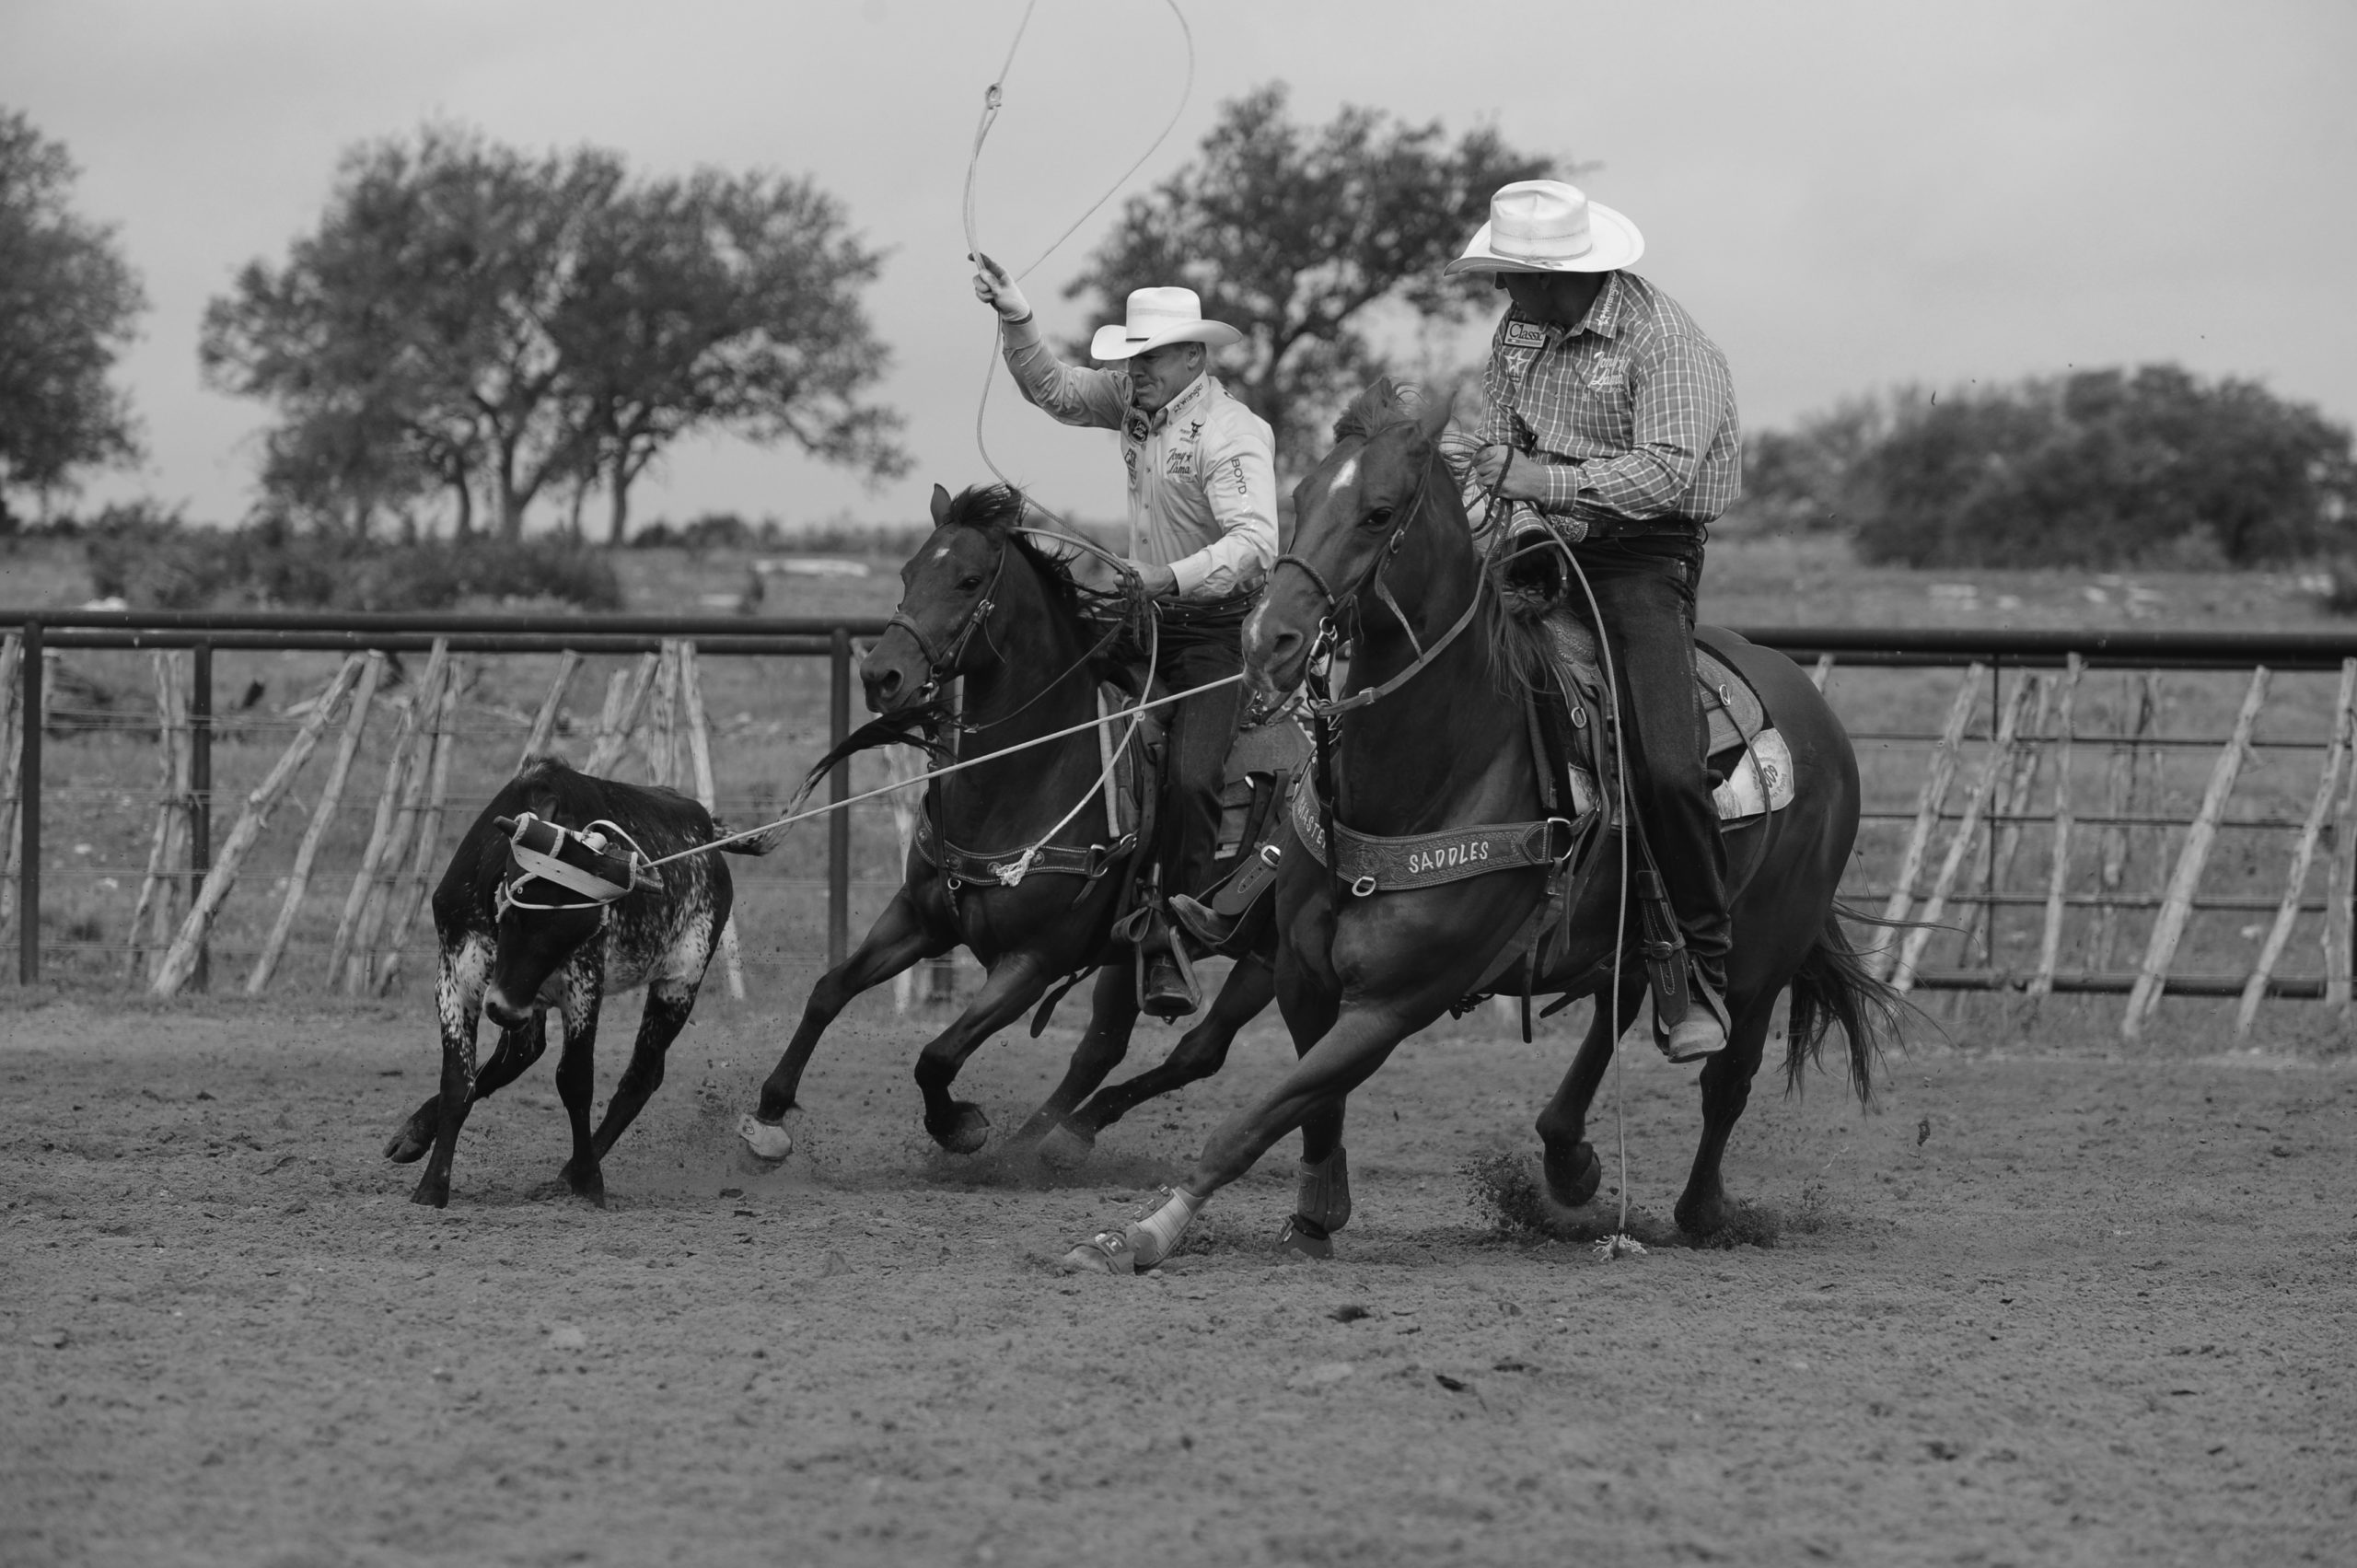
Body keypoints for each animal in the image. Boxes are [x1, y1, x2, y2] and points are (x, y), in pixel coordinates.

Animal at [739, 485, 1282, 1159]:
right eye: (908, 572)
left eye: (969, 580)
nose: (879, 675)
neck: (1025, 775)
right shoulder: (919, 918)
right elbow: (829, 990)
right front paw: (770, 1110)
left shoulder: (1031, 962)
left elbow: (937, 1055)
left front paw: (959, 1125)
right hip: (1128, 957)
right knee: (1102, 1048)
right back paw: (1040, 1141)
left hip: (1270, 954)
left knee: (1197, 1053)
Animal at [1065, 384, 1895, 1263]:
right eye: (1301, 496)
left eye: (1378, 513)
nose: (1269, 639)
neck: (1430, 774)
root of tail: (1816, 715)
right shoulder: (1300, 974)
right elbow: (1310, 1106)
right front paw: (1318, 1211)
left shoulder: (1396, 1002)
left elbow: (1252, 1120)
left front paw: (1139, 1231)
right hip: (1629, 926)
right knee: (1625, 1000)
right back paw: (1568, 1158)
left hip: (1764, 955)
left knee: (1725, 1079)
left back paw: (1705, 1209)